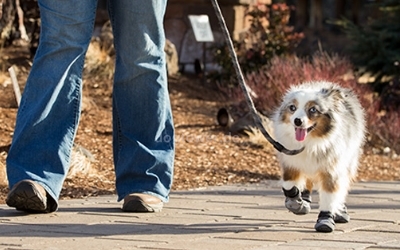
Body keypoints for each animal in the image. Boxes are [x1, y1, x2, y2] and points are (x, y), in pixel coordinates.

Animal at [272, 80, 366, 232]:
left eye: (313, 110)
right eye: (292, 107)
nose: (297, 121)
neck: (310, 142)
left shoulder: (332, 167)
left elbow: (330, 196)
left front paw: (325, 220)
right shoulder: (291, 161)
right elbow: (288, 185)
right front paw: (296, 201)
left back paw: (340, 211)